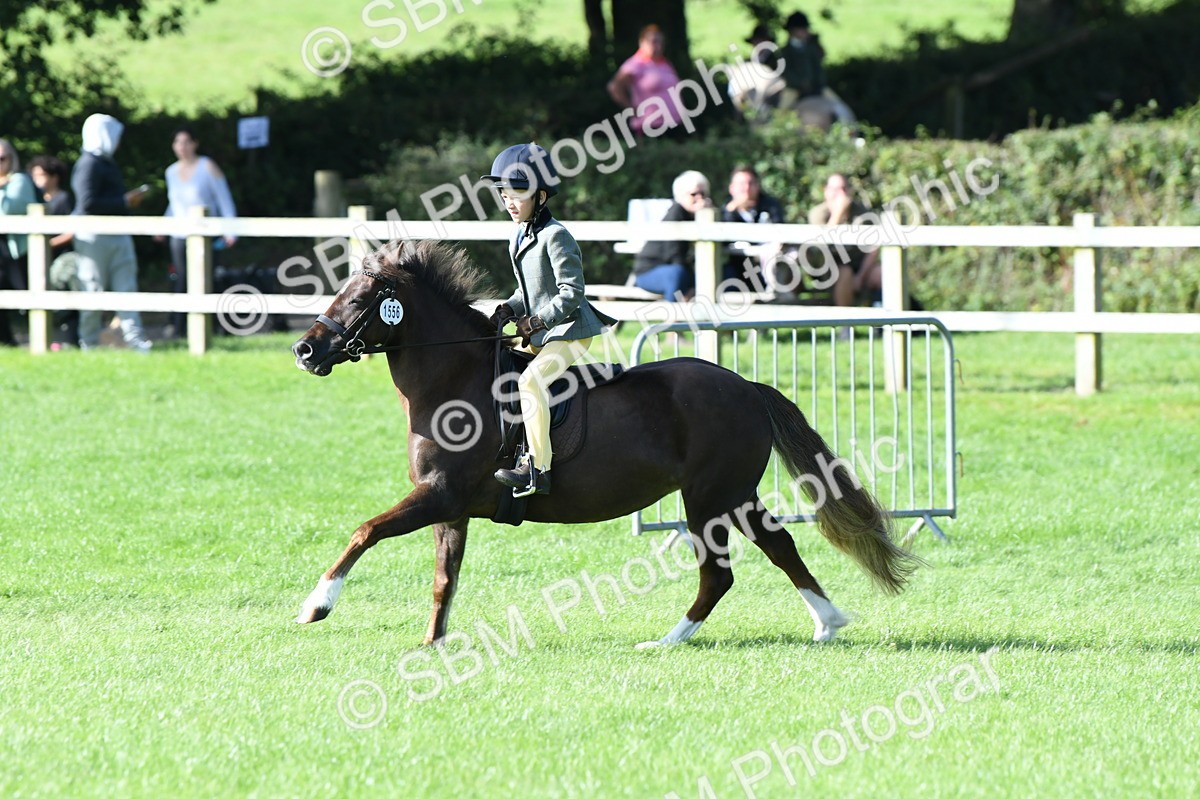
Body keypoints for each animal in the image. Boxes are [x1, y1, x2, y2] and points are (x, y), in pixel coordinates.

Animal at [290, 239, 919, 648]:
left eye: (359, 300)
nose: (305, 350)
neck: (452, 381)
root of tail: (747, 387)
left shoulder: (440, 495)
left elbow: (365, 531)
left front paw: (316, 605)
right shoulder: (450, 506)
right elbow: (445, 578)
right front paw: (432, 644)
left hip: (708, 499)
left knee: (720, 573)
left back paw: (667, 641)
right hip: (734, 495)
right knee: (779, 546)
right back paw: (827, 624)